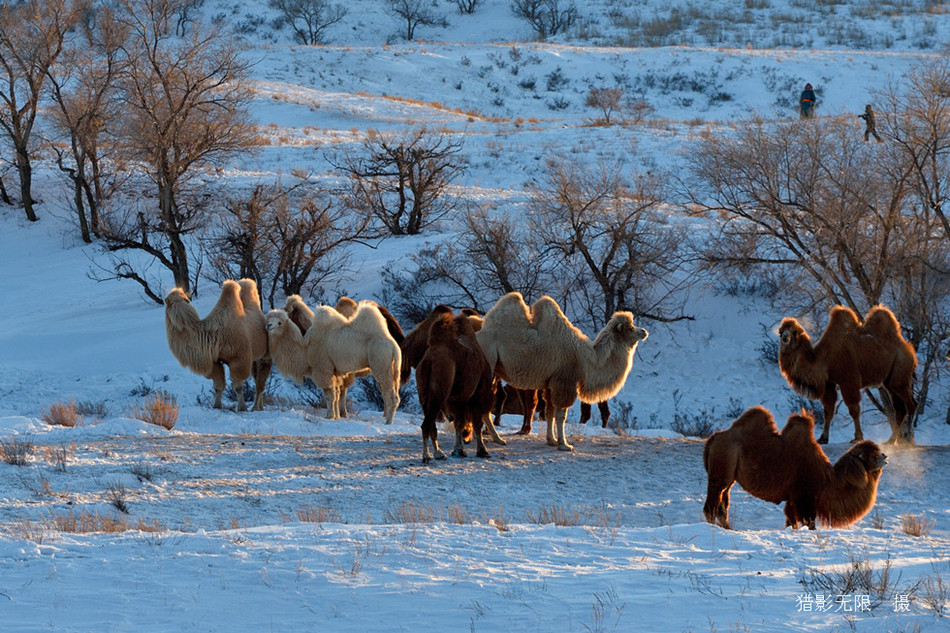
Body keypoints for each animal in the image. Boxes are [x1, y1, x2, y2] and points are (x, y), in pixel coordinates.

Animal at [165, 278, 272, 410]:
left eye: (182, 299)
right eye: (170, 301)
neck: (214, 336)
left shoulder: (239, 359)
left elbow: (238, 387)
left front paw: (242, 407)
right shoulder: (215, 361)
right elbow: (218, 387)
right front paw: (216, 405)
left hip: (265, 355)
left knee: (260, 382)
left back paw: (255, 407)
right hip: (254, 358)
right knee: (257, 378)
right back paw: (259, 407)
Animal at [480, 292, 652, 450]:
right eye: (630, 328)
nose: (644, 331)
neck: (587, 359)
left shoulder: (551, 384)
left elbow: (550, 412)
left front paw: (552, 440)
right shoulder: (565, 382)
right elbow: (561, 415)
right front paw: (564, 444)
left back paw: (493, 438)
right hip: (489, 361)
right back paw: (496, 438)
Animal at [704, 404, 888, 528]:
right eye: (872, 455)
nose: (885, 456)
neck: (828, 480)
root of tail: (713, 438)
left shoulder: (792, 499)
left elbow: (791, 521)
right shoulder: (804, 497)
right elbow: (808, 523)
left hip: (730, 477)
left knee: (722, 505)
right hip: (721, 472)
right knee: (712, 504)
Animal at [784, 304, 920, 442]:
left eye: (794, 332)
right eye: (781, 331)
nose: (785, 338)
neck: (825, 358)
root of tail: (910, 349)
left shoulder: (848, 381)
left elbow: (854, 410)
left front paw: (857, 437)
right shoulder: (829, 383)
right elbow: (828, 410)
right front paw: (823, 438)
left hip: (901, 370)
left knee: (911, 404)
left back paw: (907, 437)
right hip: (889, 381)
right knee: (899, 408)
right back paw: (891, 440)